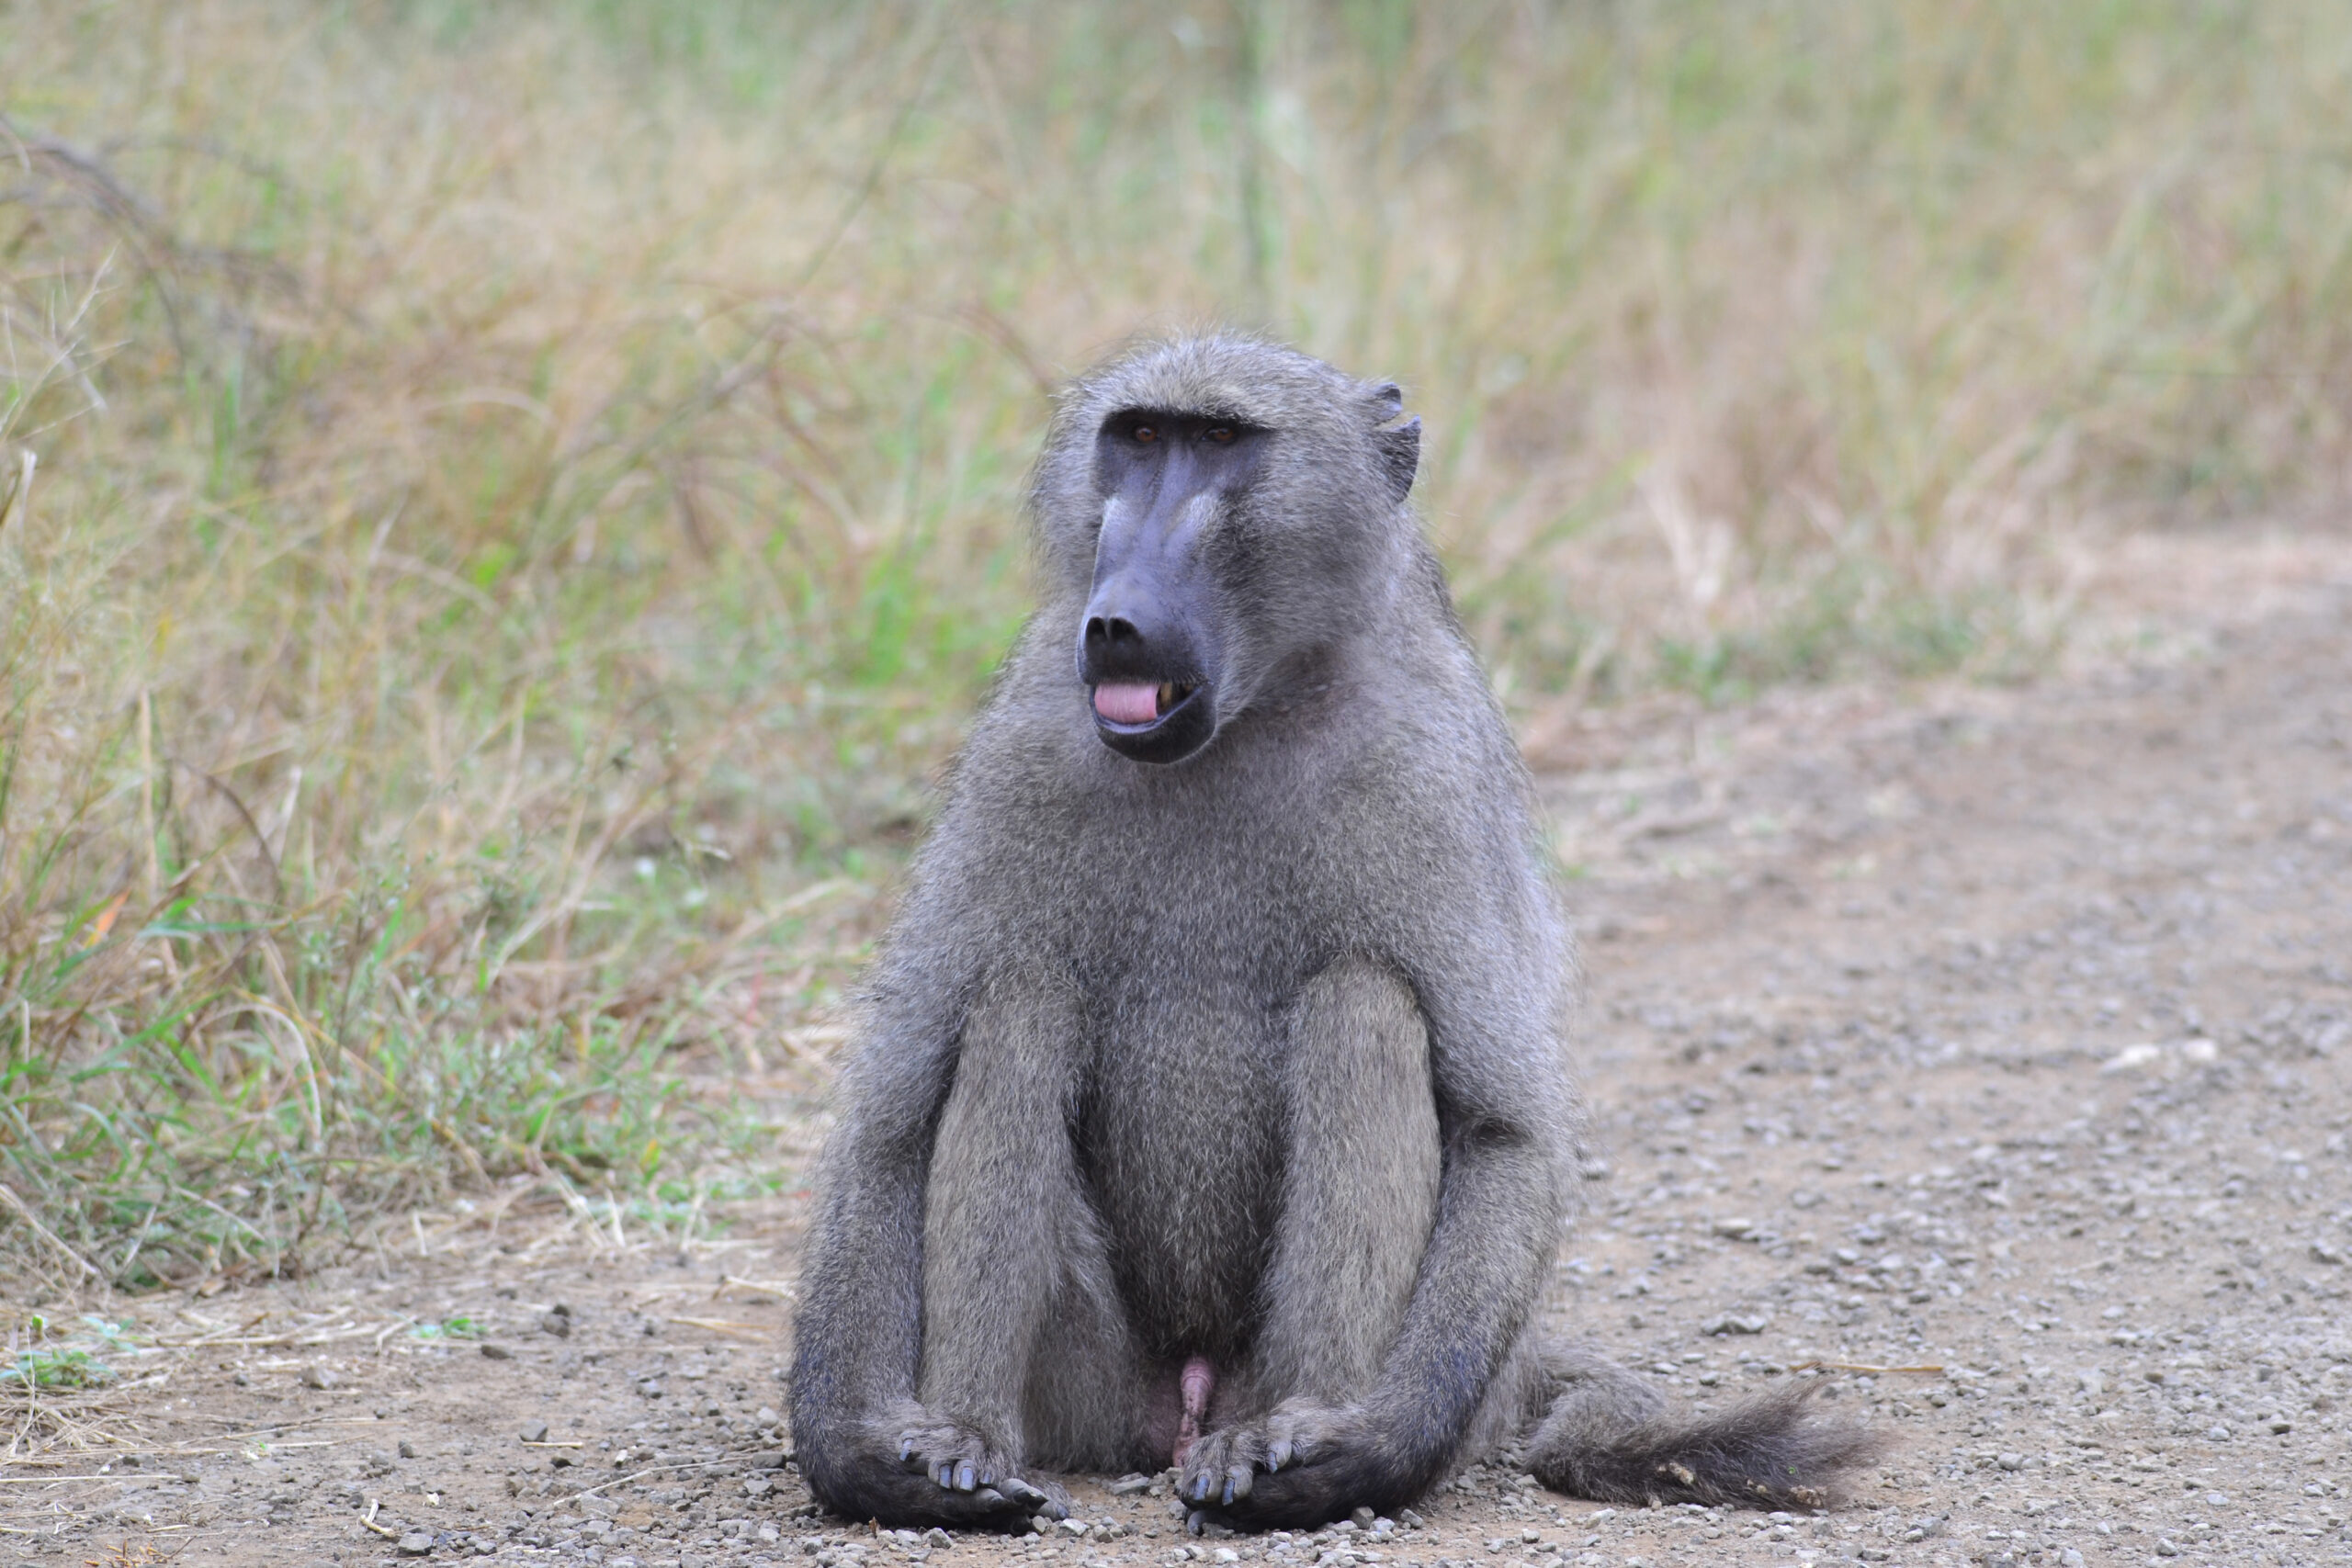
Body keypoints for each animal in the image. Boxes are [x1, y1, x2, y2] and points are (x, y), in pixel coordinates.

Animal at [788, 335, 1882, 1532]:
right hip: (1080, 1391)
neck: (1247, 714)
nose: (1119, 618)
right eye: (1138, 439)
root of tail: (1184, 1406)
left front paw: (1374, 1449)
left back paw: (1297, 1434)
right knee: (1021, 1002)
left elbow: (1502, 1129)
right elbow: (891, 1121)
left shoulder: (1428, 762)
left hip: (1280, 1365)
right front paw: (852, 1452)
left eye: (1221, 441)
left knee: (1362, 1001)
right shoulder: (1023, 743)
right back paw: (966, 1447)